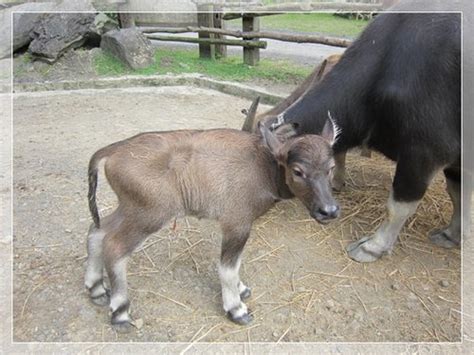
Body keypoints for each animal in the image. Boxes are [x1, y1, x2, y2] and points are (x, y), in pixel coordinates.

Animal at [272, 11, 462, 264]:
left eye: (293, 169)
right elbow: (457, 194)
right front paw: (451, 235)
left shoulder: (425, 152)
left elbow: (397, 206)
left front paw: (372, 247)